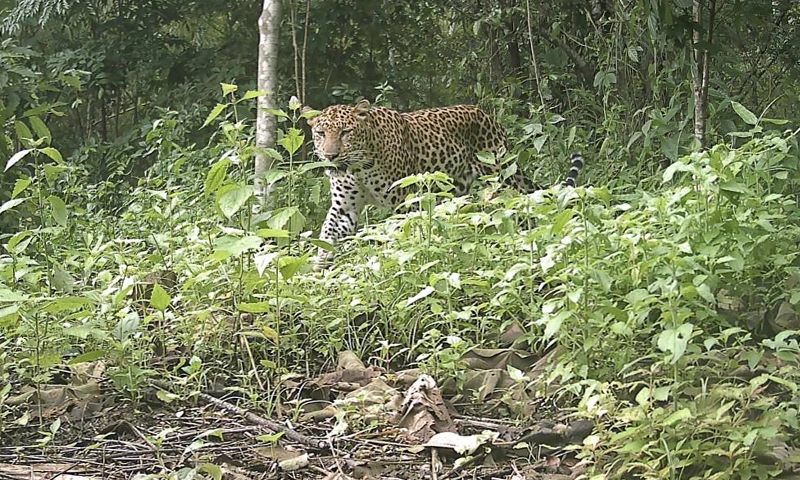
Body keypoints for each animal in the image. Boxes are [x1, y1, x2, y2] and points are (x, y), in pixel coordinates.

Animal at [305, 99, 584, 265]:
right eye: (320, 133)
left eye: (346, 132)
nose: (330, 156)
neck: (357, 167)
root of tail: (488, 116)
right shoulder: (344, 207)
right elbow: (327, 234)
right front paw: (320, 270)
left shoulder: (404, 203)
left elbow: (402, 235)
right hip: (453, 191)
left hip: (502, 176)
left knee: (523, 202)